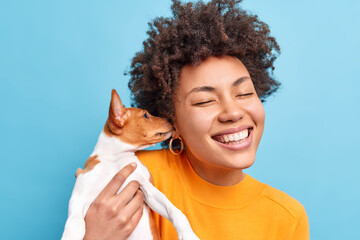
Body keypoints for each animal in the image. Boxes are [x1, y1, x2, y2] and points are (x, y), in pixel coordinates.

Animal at [60, 90, 198, 240]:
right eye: (145, 115)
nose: (170, 120)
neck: (115, 160)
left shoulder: (147, 189)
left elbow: (175, 211)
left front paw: (188, 234)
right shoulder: (79, 196)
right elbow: (74, 223)